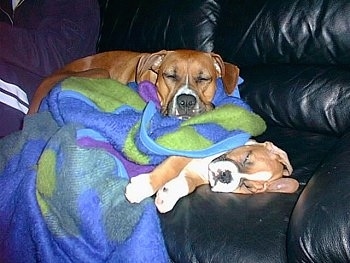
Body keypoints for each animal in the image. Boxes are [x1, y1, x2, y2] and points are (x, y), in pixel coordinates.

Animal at [124, 140, 300, 214]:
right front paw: (141, 188)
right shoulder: (186, 153)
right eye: (247, 157)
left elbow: (187, 185)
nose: (226, 175)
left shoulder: (193, 176)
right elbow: (169, 169)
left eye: (247, 187)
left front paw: (166, 197)